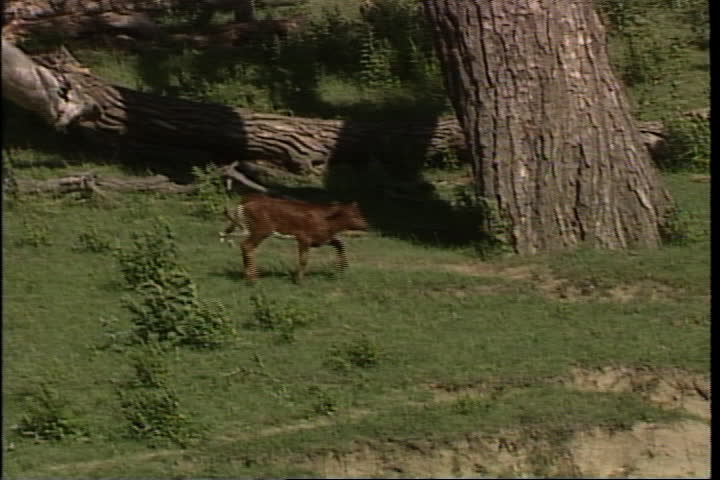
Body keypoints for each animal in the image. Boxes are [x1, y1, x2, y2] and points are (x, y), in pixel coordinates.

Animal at [220, 194, 369, 283]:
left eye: (359, 213)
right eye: (352, 215)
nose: (366, 225)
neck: (327, 220)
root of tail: (246, 201)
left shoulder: (322, 238)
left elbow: (340, 244)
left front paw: (342, 269)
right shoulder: (303, 238)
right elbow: (303, 260)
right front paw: (299, 281)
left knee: (243, 245)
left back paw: (247, 276)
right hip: (261, 230)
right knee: (247, 246)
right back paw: (253, 279)